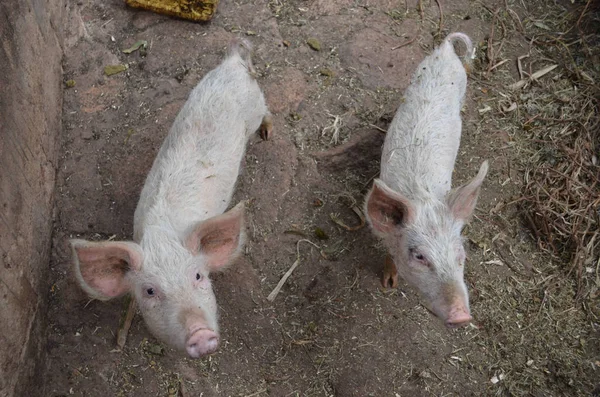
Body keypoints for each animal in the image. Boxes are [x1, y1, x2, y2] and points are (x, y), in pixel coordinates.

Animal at [69, 38, 274, 358]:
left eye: (199, 276)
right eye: (150, 291)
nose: (200, 335)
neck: (161, 234)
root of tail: (232, 62)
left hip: (254, 104)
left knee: (267, 110)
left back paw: (267, 134)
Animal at [366, 32, 488, 326]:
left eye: (460, 255)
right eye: (420, 256)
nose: (462, 316)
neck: (422, 196)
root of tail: (445, 49)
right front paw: (389, 284)